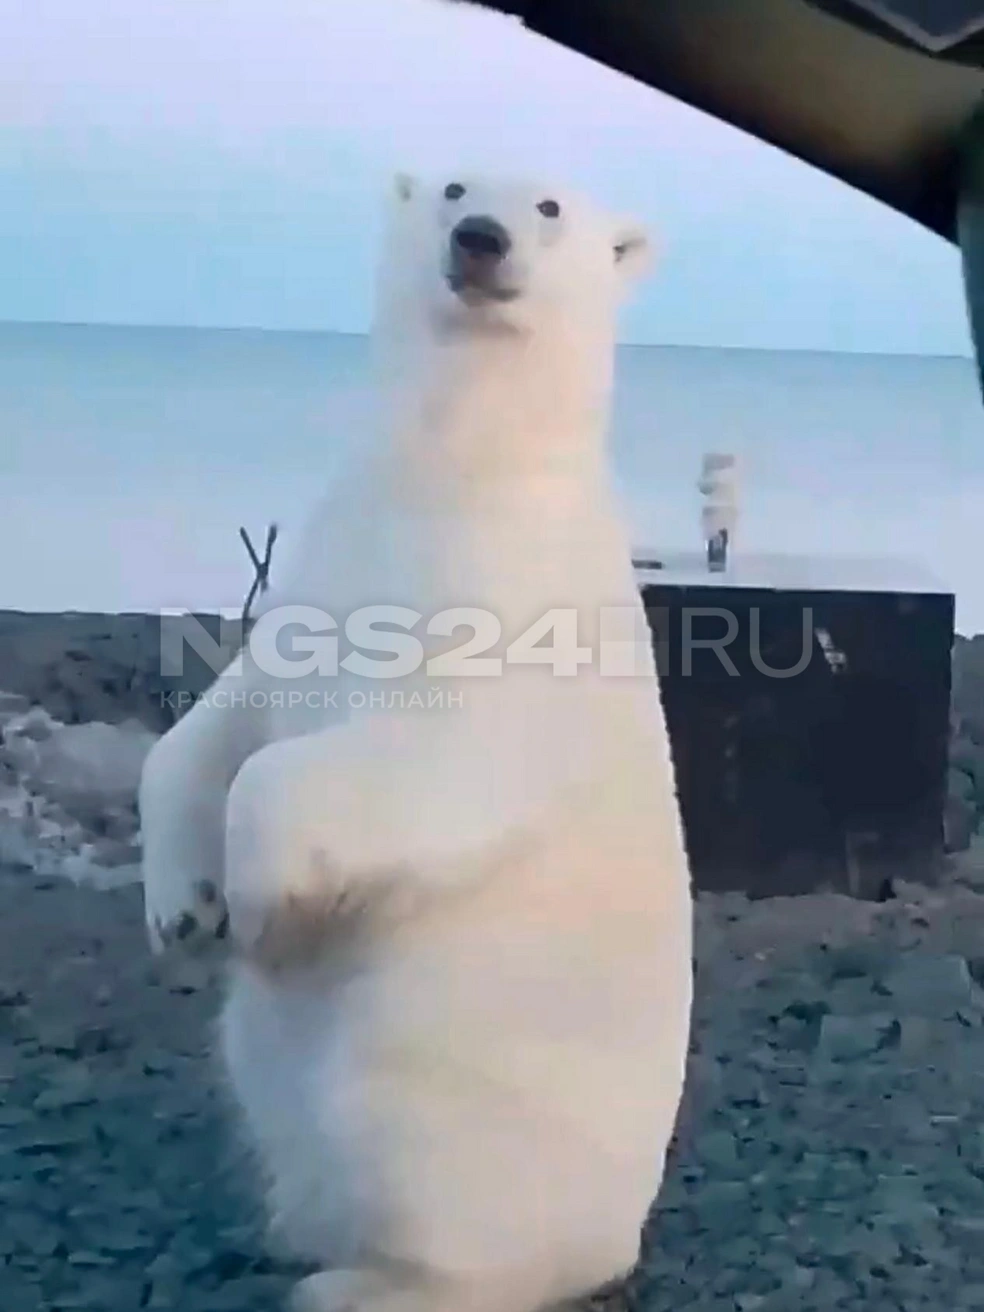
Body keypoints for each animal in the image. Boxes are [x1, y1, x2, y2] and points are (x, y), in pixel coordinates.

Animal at [139, 172, 694, 1312]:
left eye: (550, 207)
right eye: (452, 185)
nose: (478, 239)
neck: (457, 461)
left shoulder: (505, 599)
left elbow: (426, 755)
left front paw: (262, 904)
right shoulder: (327, 552)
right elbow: (224, 717)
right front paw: (183, 903)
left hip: (446, 1081)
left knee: (431, 1183)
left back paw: (359, 1282)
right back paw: (289, 1231)